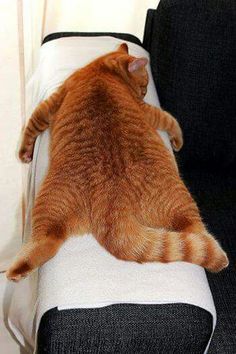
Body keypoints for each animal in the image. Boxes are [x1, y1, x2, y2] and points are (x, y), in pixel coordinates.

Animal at [6, 43, 229, 282]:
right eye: (144, 84)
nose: (143, 93)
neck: (102, 70)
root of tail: (114, 198)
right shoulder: (143, 109)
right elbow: (169, 119)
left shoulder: (52, 103)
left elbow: (32, 125)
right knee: (197, 233)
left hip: (50, 206)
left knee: (46, 242)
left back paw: (16, 271)